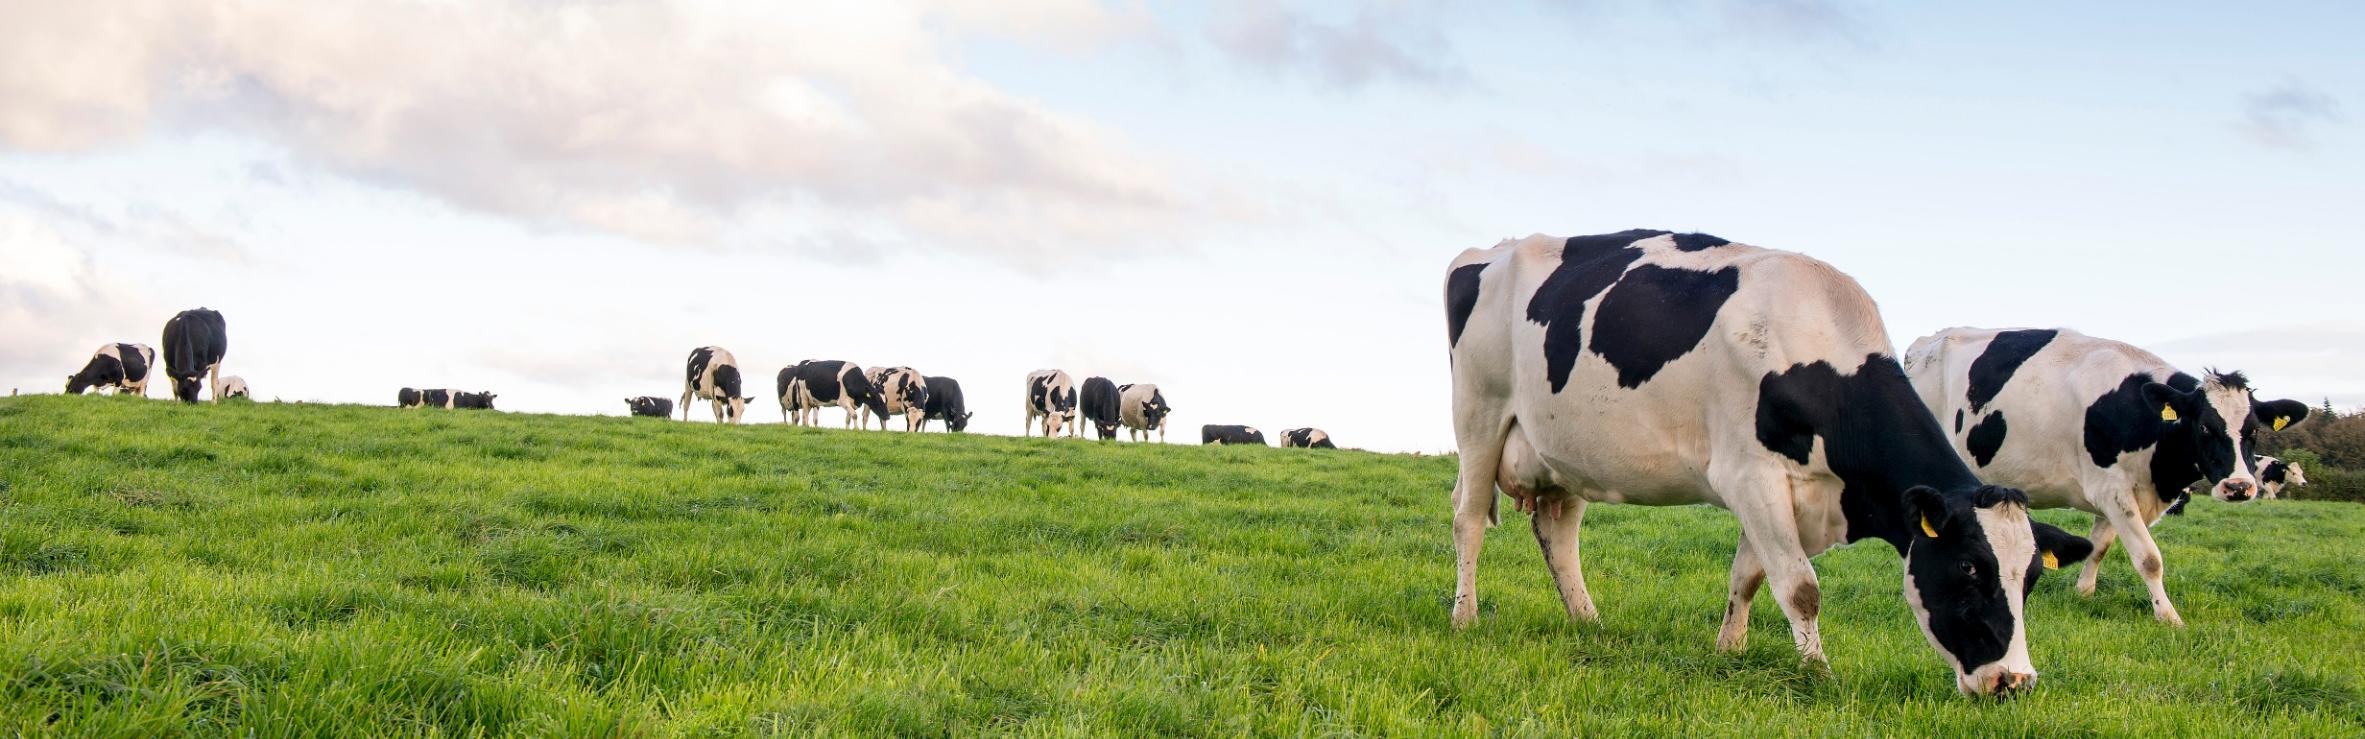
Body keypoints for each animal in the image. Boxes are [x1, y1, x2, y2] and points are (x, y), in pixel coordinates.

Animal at [1437, 232, 2090, 696]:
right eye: (1969, 567)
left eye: (2032, 577)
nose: (2014, 682)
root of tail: (1487, 251)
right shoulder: (1750, 476)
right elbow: (1800, 588)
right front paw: (1820, 673)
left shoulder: (1788, 493)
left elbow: (1748, 576)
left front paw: (1730, 649)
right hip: (1479, 414)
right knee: (1468, 518)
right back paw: (1465, 617)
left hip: (1565, 450)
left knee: (1558, 531)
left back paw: (1588, 622)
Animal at [1901, 326, 2308, 625]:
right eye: (2206, 427)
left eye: (2252, 431)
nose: (2239, 487)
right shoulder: (2114, 491)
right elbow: (2149, 558)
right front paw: (2169, 617)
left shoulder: (2116, 498)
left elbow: (2098, 547)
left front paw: (2083, 592)